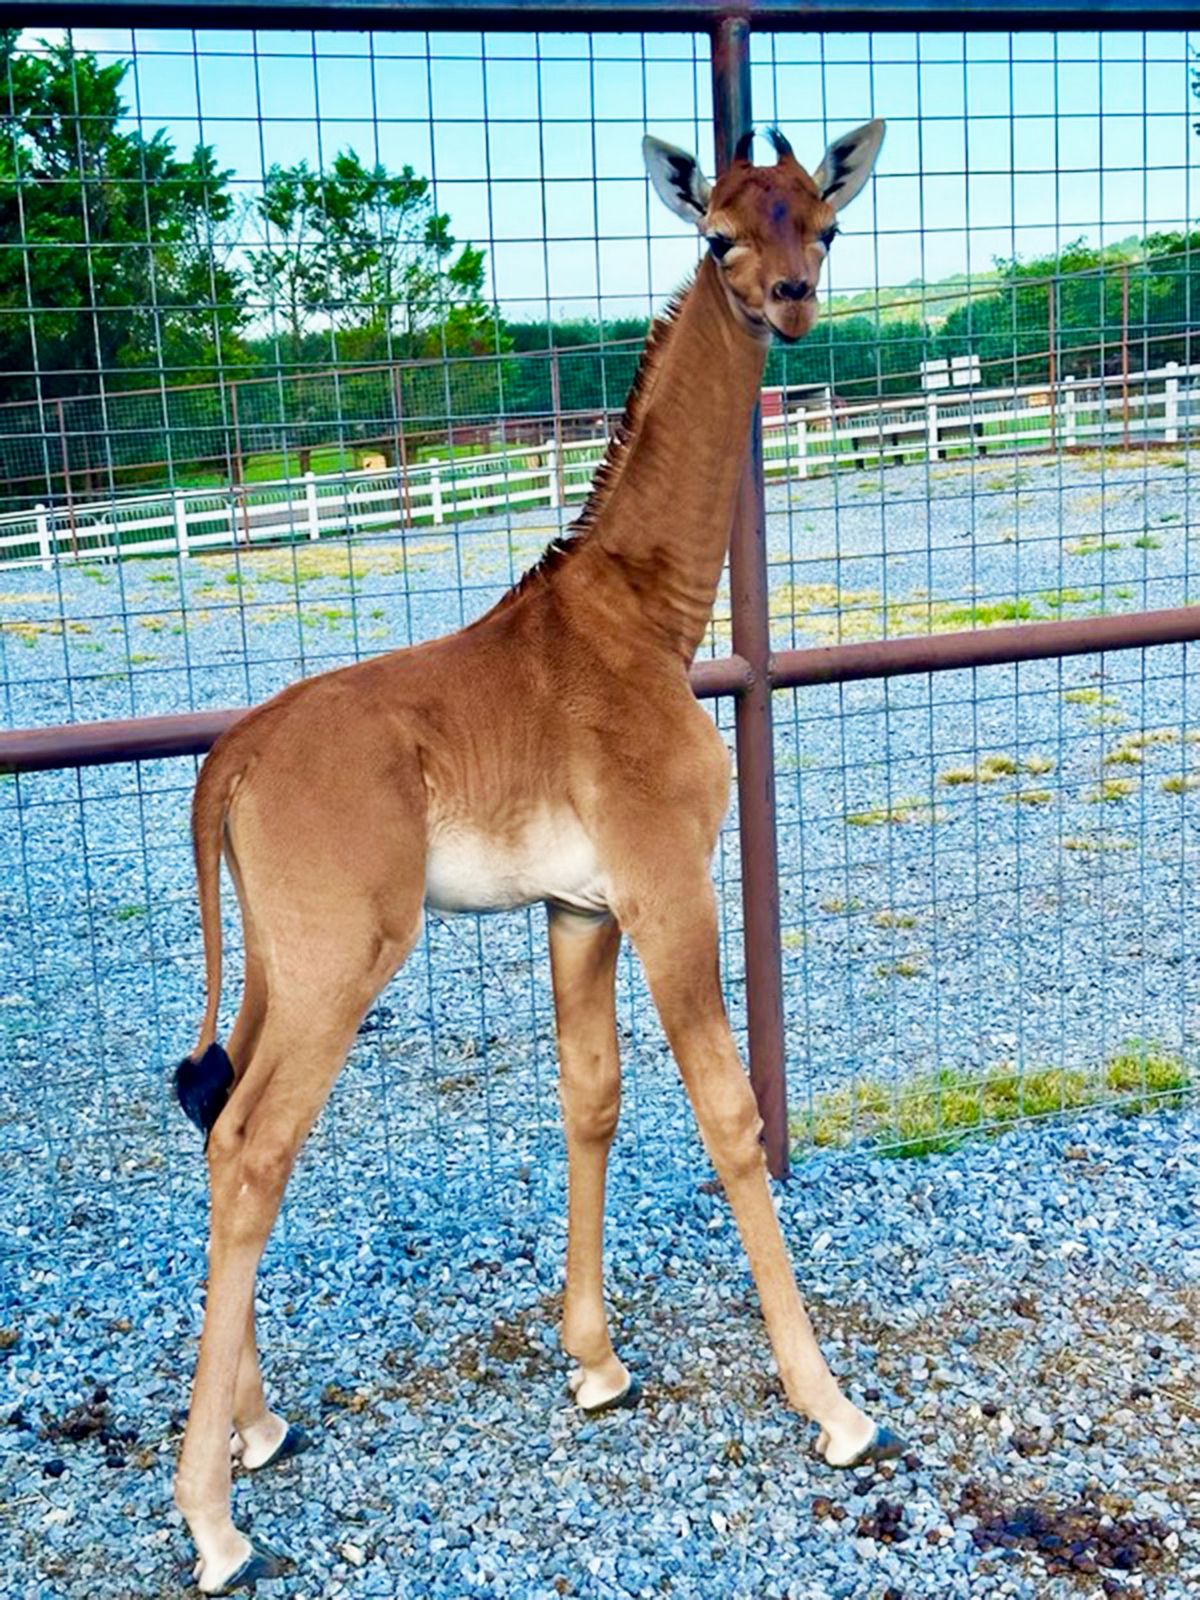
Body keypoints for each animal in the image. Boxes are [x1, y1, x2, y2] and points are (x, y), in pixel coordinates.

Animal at [173, 118, 896, 1593]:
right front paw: (836, 1409)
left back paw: (258, 1426)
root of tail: (229, 762)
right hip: (343, 959)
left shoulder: (579, 907)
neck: (649, 619)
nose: (791, 303)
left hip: (276, 960)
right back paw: (213, 1520)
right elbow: (730, 1115)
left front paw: (598, 1363)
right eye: (720, 237)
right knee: (254, 1148)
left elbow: (592, 1098)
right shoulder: (669, 886)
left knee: (219, 1120)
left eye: (825, 224)